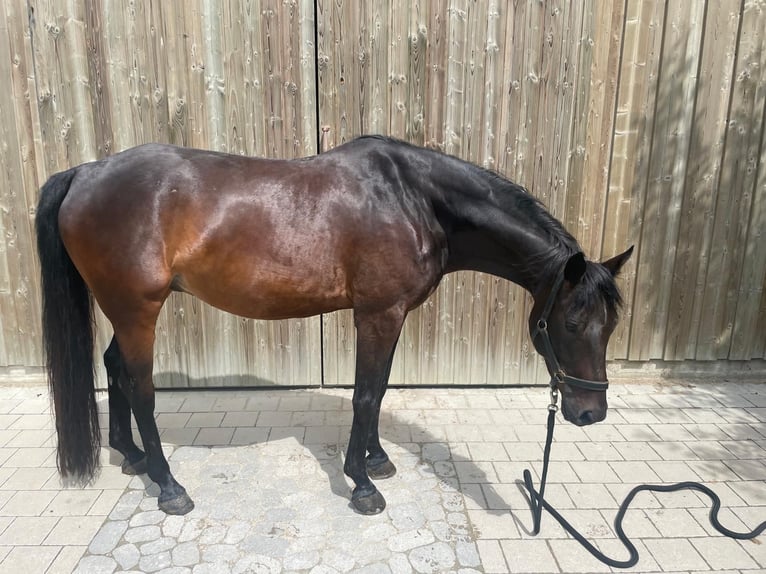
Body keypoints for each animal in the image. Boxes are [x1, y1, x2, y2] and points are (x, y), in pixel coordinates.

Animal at [36, 135, 633, 516]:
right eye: (571, 322)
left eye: (611, 326)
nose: (590, 413)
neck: (413, 199)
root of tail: (84, 172)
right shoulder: (377, 313)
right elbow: (365, 394)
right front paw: (362, 484)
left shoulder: (392, 315)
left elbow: (380, 388)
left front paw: (378, 460)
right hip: (138, 309)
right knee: (139, 387)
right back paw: (169, 486)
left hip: (124, 308)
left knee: (113, 367)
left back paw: (131, 456)